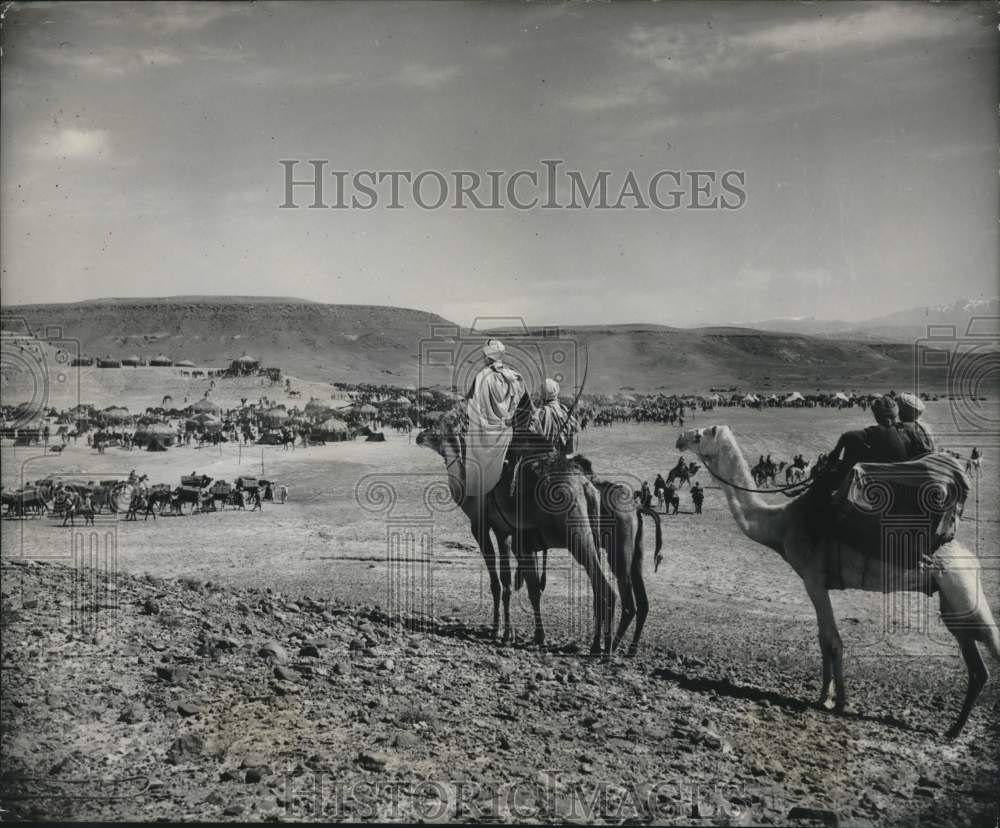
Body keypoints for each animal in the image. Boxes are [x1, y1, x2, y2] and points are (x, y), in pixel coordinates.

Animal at [416, 404, 660, 656]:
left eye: (440, 424)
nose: (419, 436)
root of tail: (586, 486)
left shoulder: (481, 526)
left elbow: (498, 583)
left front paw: (500, 632)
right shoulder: (506, 533)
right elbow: (510, 583)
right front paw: (512, 633)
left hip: (584, 538)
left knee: (608, 591)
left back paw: (603, 649)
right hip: (627, 549)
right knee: (631, 599)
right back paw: (617, 647)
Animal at [676, 426, 996, 736]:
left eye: (700, 434)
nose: (680, 438)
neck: (780, 523)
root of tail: (973, 560)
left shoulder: (813, 581)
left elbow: (832, 641)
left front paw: (837, 701)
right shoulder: (813, 584)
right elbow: (822, 639)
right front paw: (825, 696)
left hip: (963, 587)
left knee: (991, 645)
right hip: (952, 603)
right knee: (977, 666)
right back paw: (954, 729)